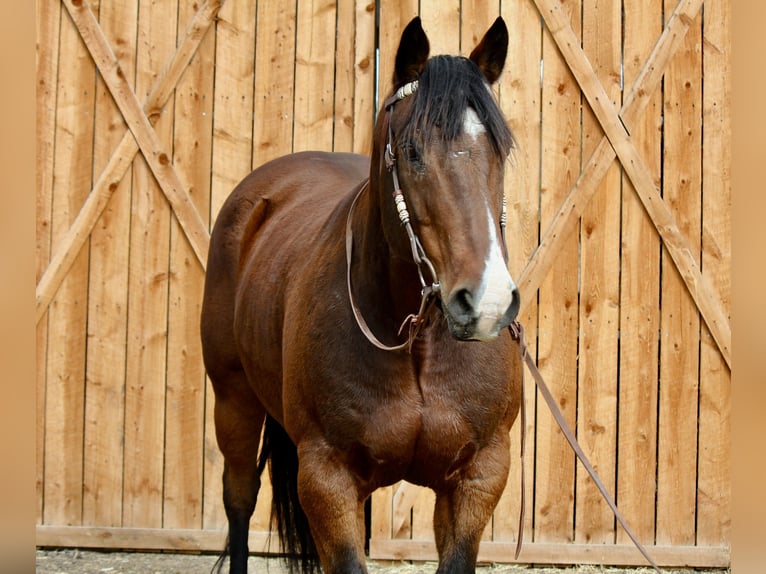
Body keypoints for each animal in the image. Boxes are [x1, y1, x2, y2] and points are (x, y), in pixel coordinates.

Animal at [201, 16, 523, 574]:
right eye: (412, 152)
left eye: (499, 152)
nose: (486, 303)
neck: (418, 344)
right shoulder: (326, 478)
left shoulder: (479, 476)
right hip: (233, 399)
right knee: (239, 502)